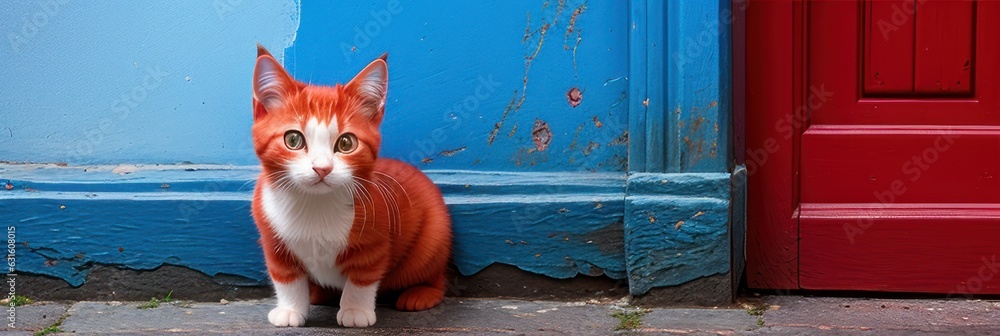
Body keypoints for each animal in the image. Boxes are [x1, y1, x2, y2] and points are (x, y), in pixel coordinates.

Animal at [250, 44, 454, 328]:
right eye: (293, 139)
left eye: (346, 143)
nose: (322, 168)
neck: (315, 205)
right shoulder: (273, 239)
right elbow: (285, 277)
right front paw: (290, 308)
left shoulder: (374, 243)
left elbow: (363, 277)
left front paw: (355, 310)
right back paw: (318, 293)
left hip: (434, 238)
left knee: (434, 274)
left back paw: (421, 293)